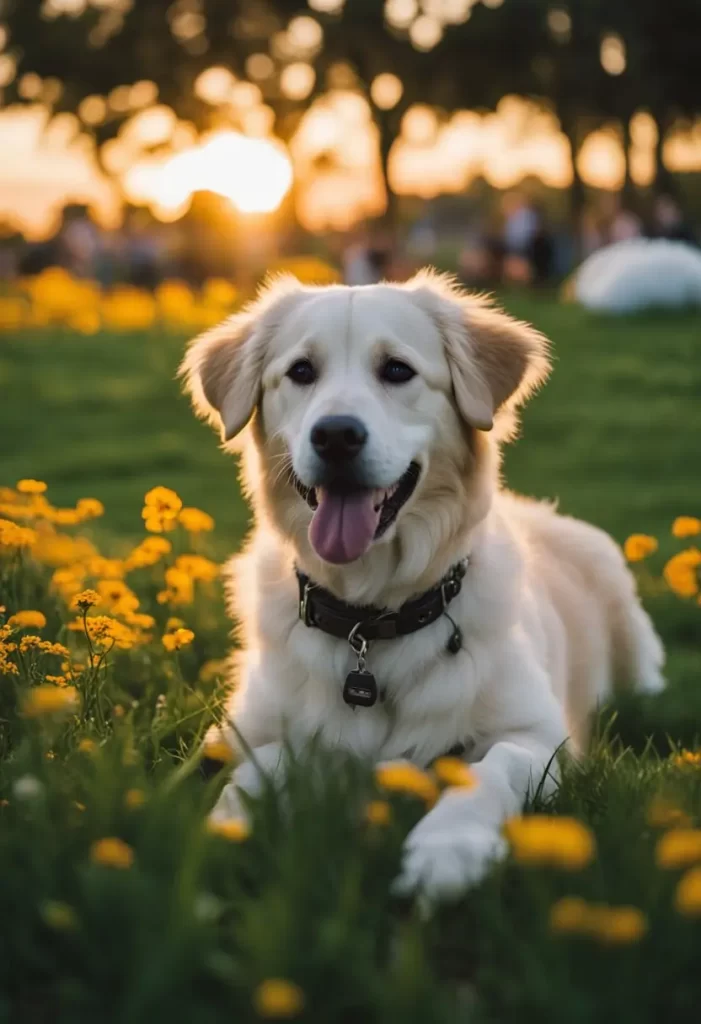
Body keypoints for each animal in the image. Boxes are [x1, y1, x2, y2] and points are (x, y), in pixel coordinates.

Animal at [179, 270, 663, 897]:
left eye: (397, 370)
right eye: (302, 371)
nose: (336, 435)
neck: (371, 617)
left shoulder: (536, 735)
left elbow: (489, 773)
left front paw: (445, 852)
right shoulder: (252, 735)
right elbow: (251, 779)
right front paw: (220, 837)